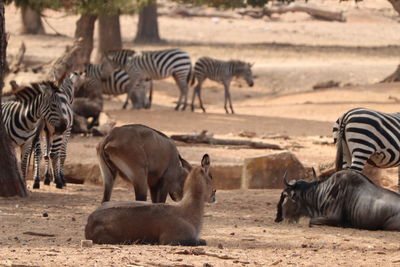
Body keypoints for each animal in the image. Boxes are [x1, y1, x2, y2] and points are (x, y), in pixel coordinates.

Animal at [84, 154, 216, 246]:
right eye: (211, 176)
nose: (214, 193)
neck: (187, 209)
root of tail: (89, 220)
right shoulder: (170, 239)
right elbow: (202, 241)